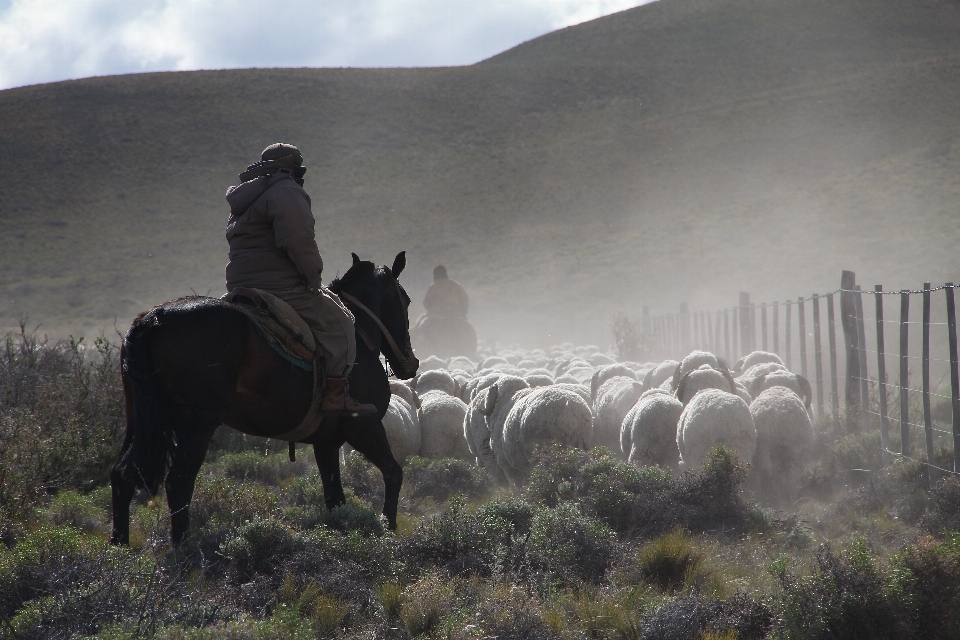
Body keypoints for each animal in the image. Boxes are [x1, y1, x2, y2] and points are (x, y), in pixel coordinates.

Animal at [109, 251, 416, 544]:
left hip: (140, 418)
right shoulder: (364, 427)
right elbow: (393, 472)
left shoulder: (326, 441)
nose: (410, 364)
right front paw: (388, 526)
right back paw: (183, 548)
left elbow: (335, 499)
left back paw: (119, 545)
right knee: (178, 483)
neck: (360, 335)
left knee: (122, 474)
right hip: (196, 426)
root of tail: (154, 318)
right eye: (407, 300)